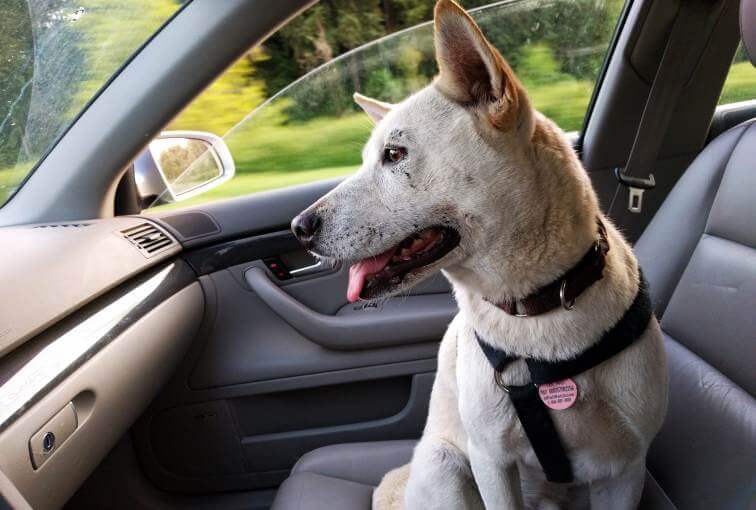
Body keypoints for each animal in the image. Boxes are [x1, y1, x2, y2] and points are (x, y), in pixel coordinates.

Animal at [290, 1, 668, 508]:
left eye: (394, 154)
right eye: (371, 157)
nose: (299, 228)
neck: (537, 312)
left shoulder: (626, 471)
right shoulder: (491, 459)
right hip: (445, 467)